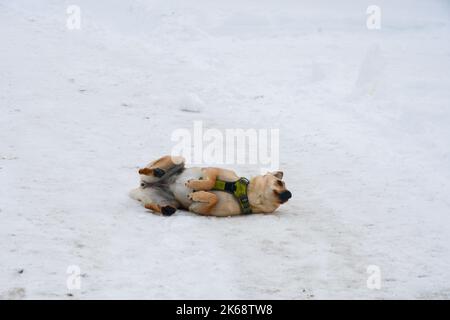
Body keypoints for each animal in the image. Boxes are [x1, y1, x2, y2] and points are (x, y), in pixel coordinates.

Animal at [129, 156, 292, 216]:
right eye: (280, 183)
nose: (289, 194)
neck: (244, 193)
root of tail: (142, 187)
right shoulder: (212, 170)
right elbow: (211, 182)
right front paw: (195, 185)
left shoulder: (197, 208)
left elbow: (213, 197)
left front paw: (196, 194)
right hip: (178, 158)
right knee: (144, 170)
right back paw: (156, 171)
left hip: (169, 201)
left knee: (151, 205)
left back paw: (165, 209)